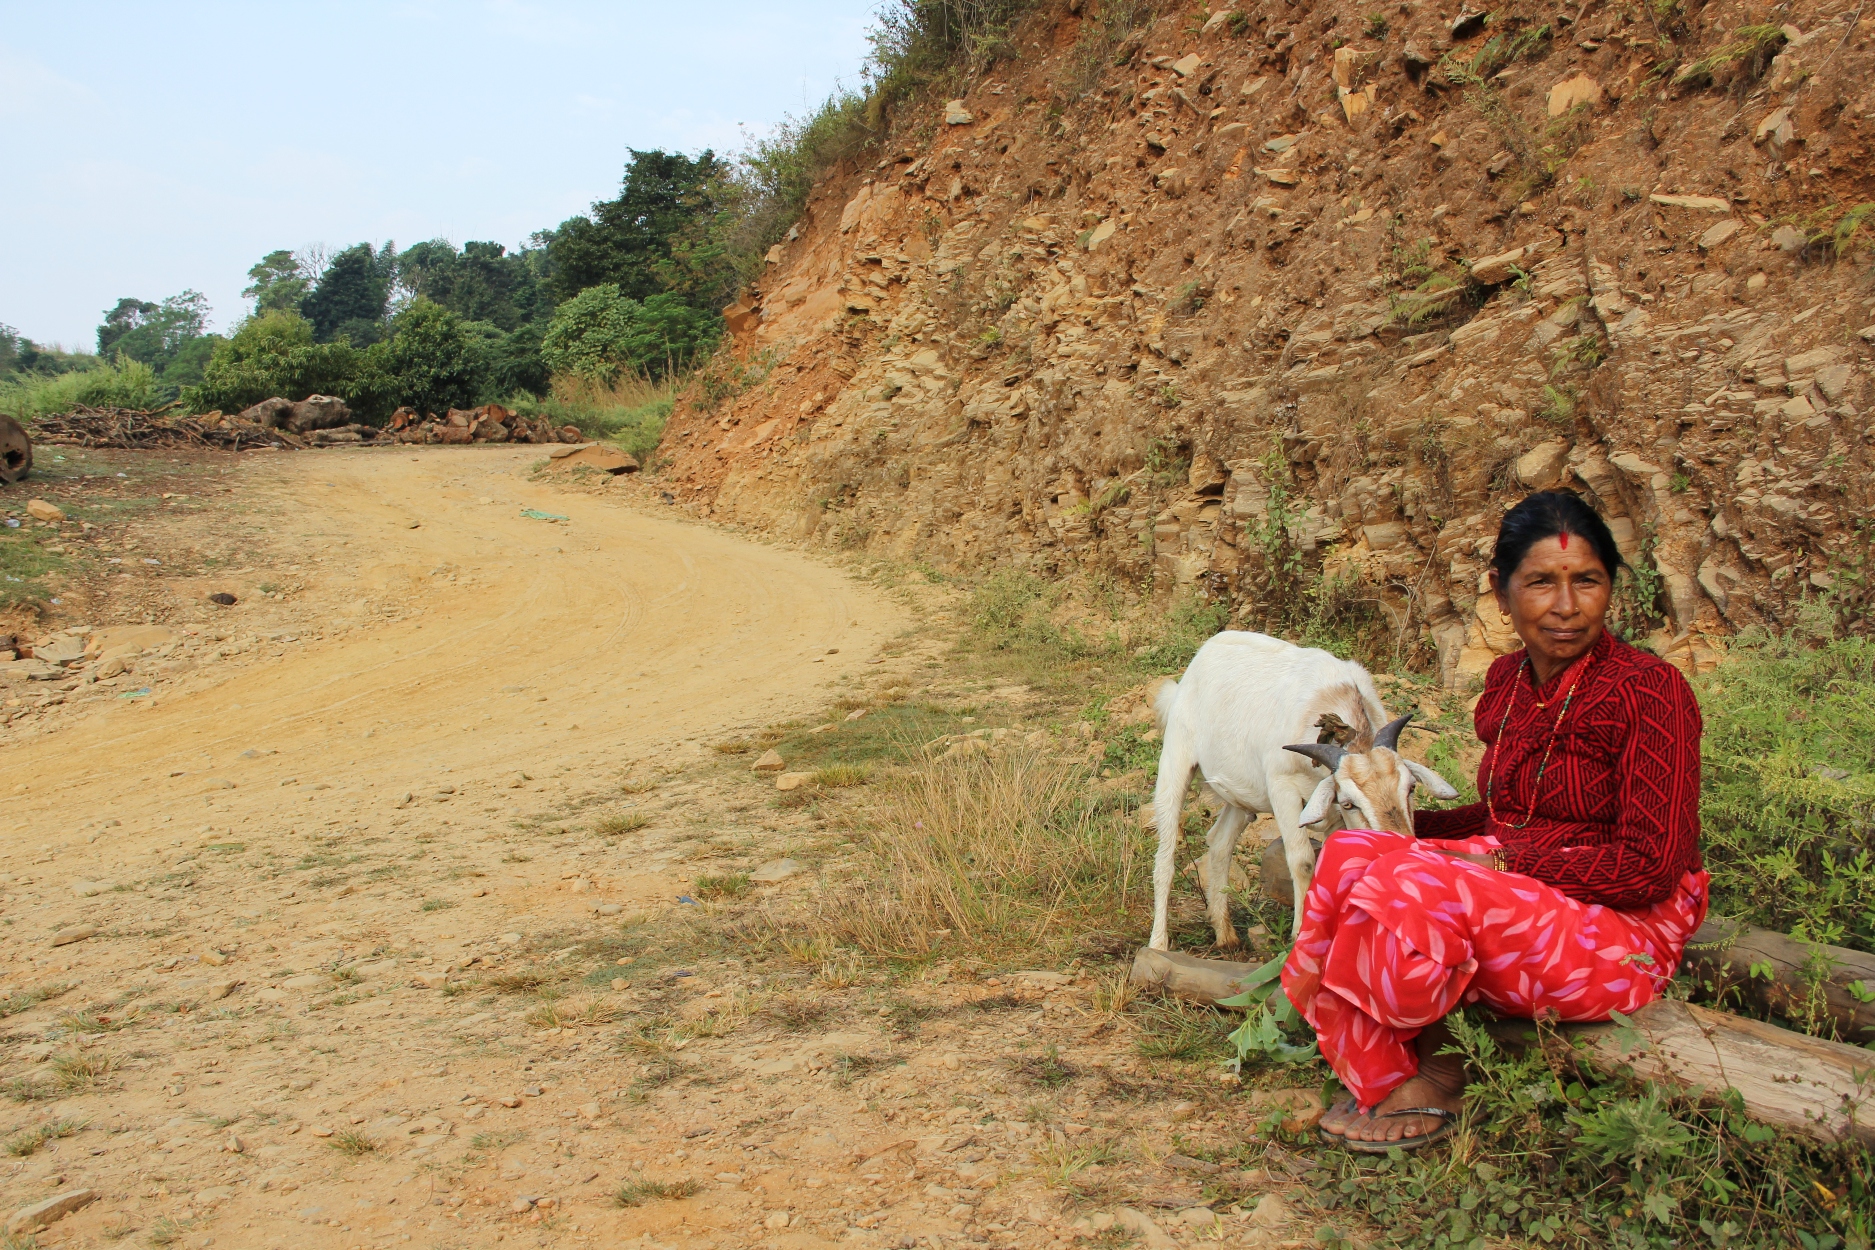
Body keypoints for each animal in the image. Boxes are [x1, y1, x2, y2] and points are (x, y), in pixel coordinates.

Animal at [1140, 629, 1462, 952]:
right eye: (1350, 803)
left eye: (1410, 788)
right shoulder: (1283, 789)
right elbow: (1303, 861)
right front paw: (1299, 935)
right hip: (1175, 763)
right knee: (1165, 858)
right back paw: (1158, 944)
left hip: (1241, 796)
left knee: (1219, 843)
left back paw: (1225, 933)